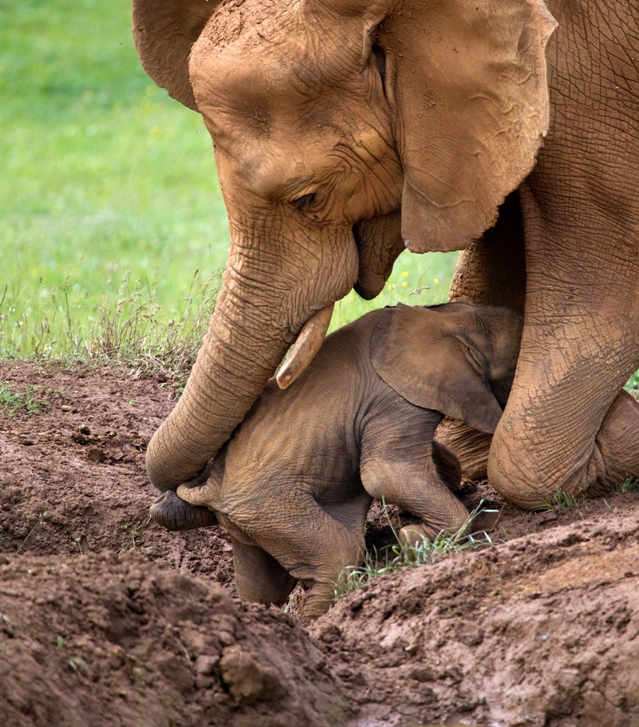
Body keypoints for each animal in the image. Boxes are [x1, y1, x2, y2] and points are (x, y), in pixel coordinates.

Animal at [150, 302, 523, 615]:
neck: (444, 318)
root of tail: (211, 488)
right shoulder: (395, 399)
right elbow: (385, 474)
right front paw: (411, 539)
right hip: (267, 505)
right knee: (339, 557)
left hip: (247, 520)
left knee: (263, 585)